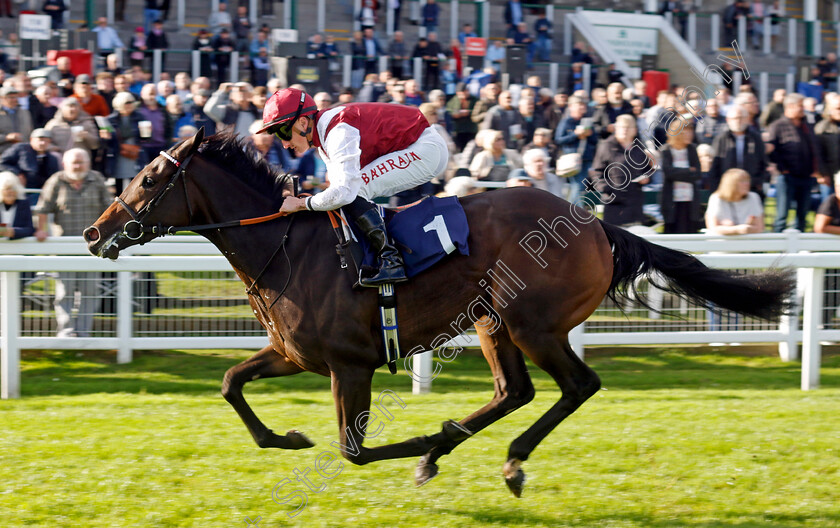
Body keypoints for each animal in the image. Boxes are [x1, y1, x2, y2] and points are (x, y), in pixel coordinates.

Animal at [83, 130, 796, 498]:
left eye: (150, 179)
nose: (94, 233)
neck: (286, 245)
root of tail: (597, 225)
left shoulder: (351, 364)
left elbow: (353, 451)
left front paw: (417, 444)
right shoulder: (294, 354)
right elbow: (232, 383)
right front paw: (287, 437)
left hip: (532, 322)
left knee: (577, 385)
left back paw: (497, 459)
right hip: (491, 320)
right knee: (516, 391)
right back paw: (463, 452)